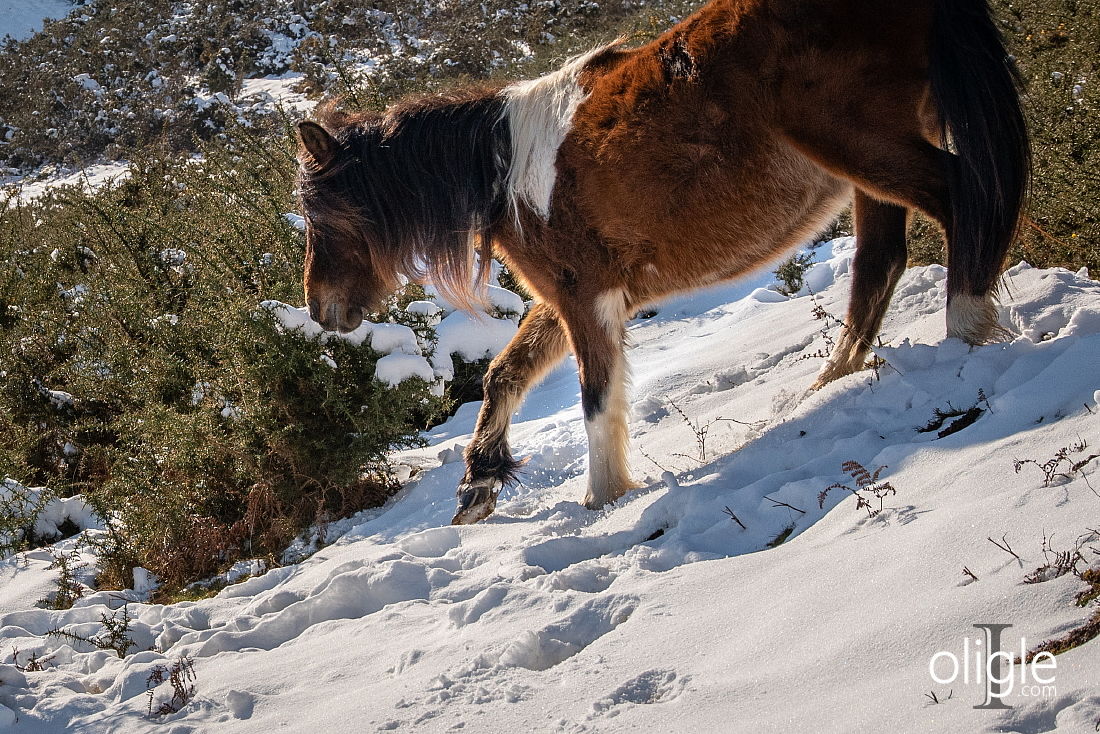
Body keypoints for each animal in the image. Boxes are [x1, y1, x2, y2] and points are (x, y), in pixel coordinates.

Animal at [294, 0, 1029, 521]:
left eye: (320, 217)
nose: (319, 310)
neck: (504, 169)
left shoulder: (585, 300)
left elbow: (596, 396)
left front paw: (606, 499)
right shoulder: (570, 298)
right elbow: (506, 374)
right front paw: (480, 480)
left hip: (862, 145)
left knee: (962, 200)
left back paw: (967, 334)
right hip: (865, 170)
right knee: (879, 260)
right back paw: (836, 381)